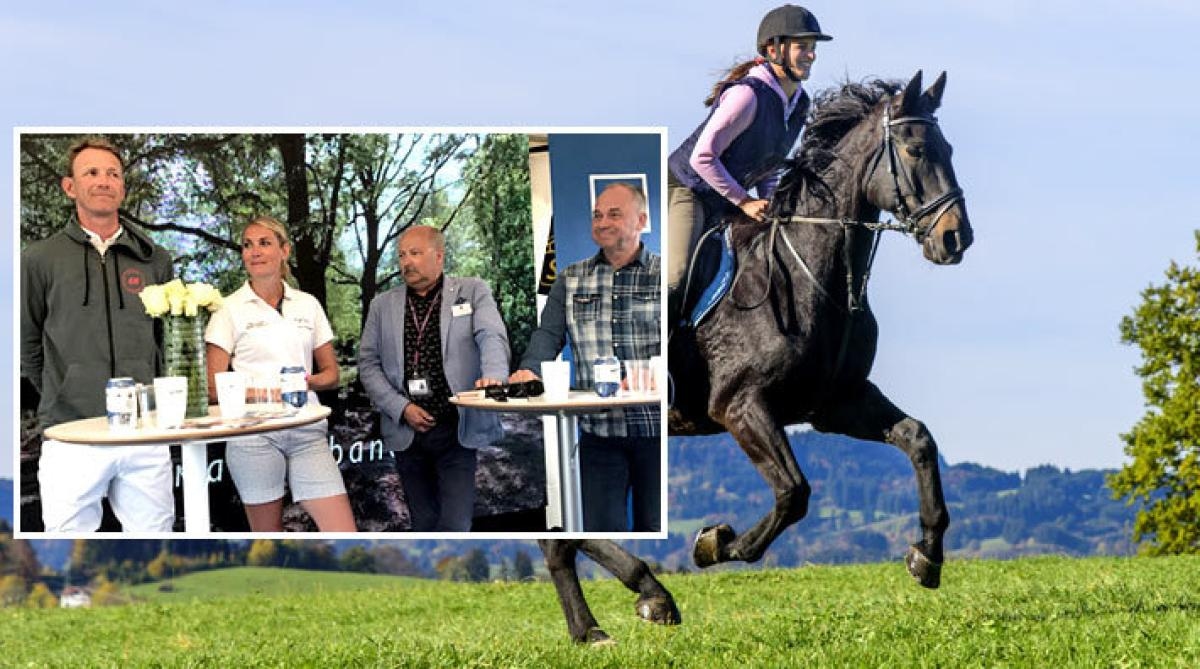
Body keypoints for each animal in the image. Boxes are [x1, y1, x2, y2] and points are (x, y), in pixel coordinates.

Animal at [540, 69, 969, 647]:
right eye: (916, 149)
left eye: (949, 149)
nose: (956, 237)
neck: (810, 272)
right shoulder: (740, 406)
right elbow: (793, 492)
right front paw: (715, 543)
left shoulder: (837, 404)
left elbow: (918, 439)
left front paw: (927, 556)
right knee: (558, 533)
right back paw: (617, 611)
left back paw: (625, 608)